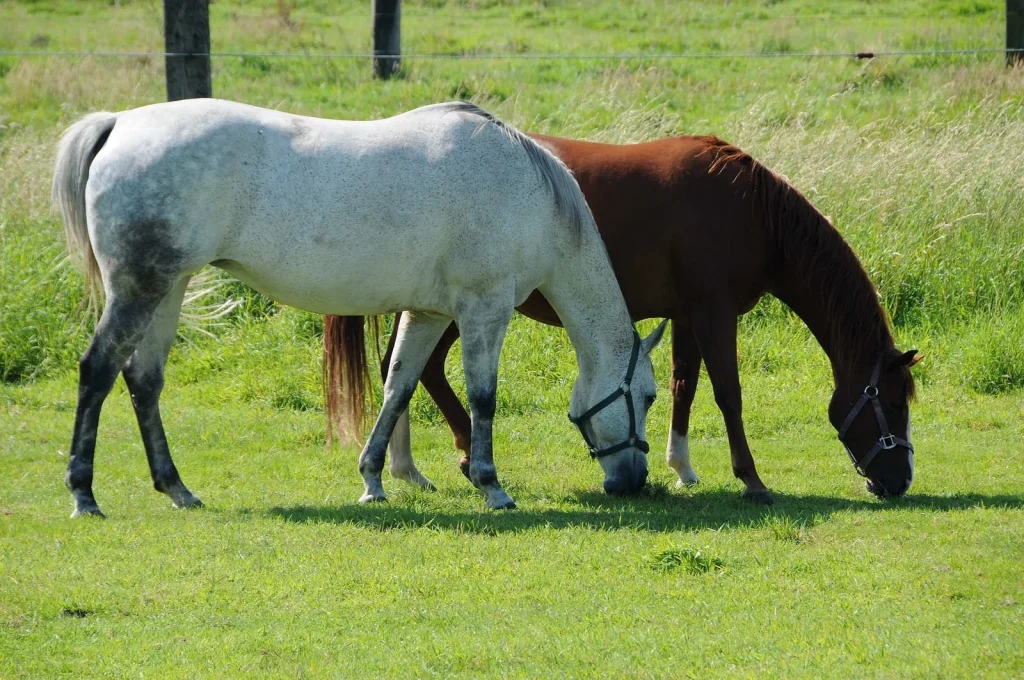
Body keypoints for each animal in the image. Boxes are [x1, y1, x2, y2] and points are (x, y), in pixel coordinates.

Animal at [53, 99, 666, 518]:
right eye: (648, 396)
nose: (634, 480)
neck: (528, 193)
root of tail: (119, 123)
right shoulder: (484, 311)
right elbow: (482, 397)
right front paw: (491, 484)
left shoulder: (428, 315)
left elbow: (398, 387)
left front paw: (373, 481)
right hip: (139, 290)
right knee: (97, 371)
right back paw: (84, 494)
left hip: (168, 289)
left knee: (144, 381)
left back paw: (176, 488)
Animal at [324, 133, 922, 505]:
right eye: (893, 404)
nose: (898, 481)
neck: (748, 210)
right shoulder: (714, 311)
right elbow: (728, 393)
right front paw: (751, 480)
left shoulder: (688, 314)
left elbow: (685, 385)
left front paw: (682, 467)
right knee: (417, 369)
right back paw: (439, 459)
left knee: (406, 367)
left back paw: (408, 467)